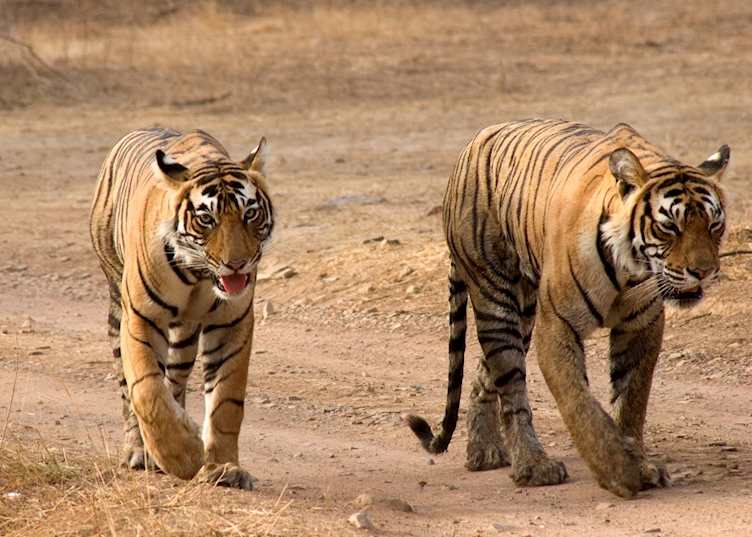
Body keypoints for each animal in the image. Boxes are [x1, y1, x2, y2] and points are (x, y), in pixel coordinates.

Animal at [89, 128, 274, 489]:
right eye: (206, 219)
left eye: (250, 214)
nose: (237, 264)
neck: (199, 275)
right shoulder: (141, 319)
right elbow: (146, 390)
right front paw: (183, 457)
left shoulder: (232, 323)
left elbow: (226, 401)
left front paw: (224, 467)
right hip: (117, 300)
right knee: (127, 387)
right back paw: (140, 451)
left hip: (184, 334)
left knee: (174, 380)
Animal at [406, 119, 729, 497]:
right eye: (670, 227)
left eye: (714, 225)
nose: (704, 271)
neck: (629, 268)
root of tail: (474, 141)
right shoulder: (558, 326)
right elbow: (580, 403)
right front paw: (618, 471)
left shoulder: (641, 325)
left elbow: (630, 401)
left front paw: (638, 463)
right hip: (495, 297)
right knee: (511, 387)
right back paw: (532, 466)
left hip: (523, 311)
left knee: (485, 372)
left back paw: (484, 452)